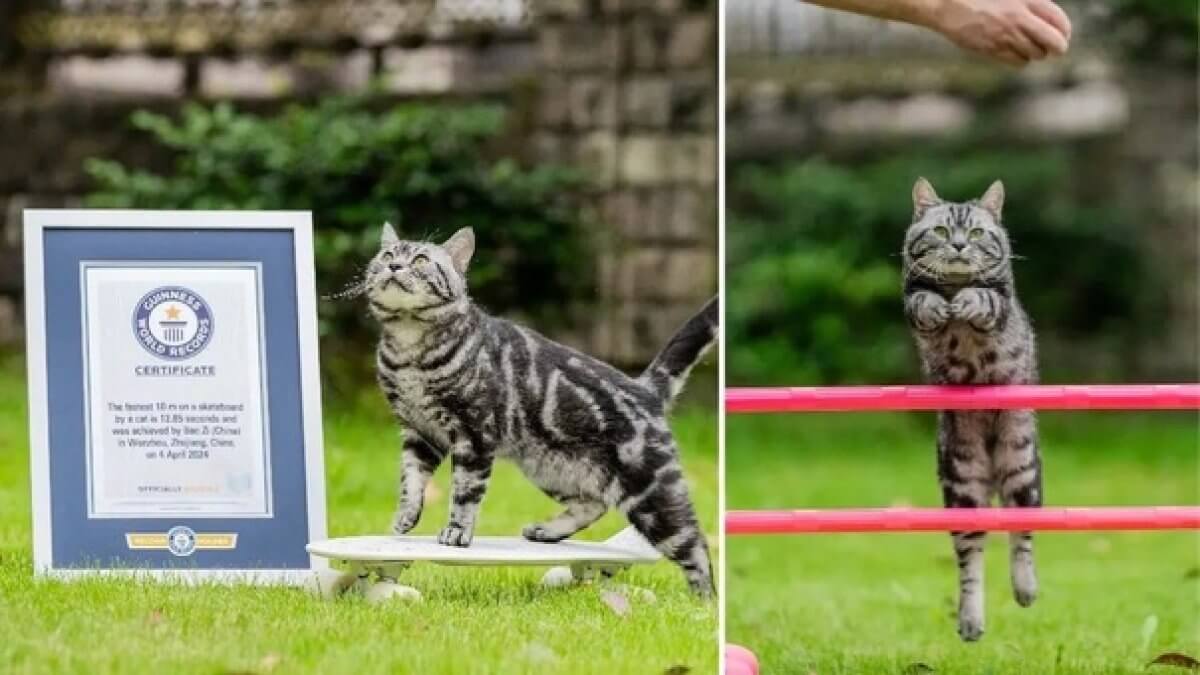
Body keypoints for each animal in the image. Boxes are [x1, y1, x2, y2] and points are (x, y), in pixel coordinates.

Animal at [348, 222, 720, 593]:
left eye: (421, 259)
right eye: (387, 254)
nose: (394, 266)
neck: (408, 348)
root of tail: (644, 387)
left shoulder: (474, 435)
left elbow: (464, 493)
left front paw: (456, 531)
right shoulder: (420, 433)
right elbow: (410, 481)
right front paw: (404, 519)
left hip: (651, 495)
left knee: (696, 546)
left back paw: (702, 602)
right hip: (551, 469)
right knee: (595, 504)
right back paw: (547, 531)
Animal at [902, 176, 1041, 638]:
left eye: (978, 233)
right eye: (943, 231)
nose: (961, 245)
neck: (954, 283)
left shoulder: (1001, 301)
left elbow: (983, 297)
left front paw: (965, 301)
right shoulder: (911, 297)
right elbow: (921, 302)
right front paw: (940, 305)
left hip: (1022, 471)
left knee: (1021, 534)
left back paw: (1025, 588)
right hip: (962, 483)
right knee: (970, 557)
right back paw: (970, 619)